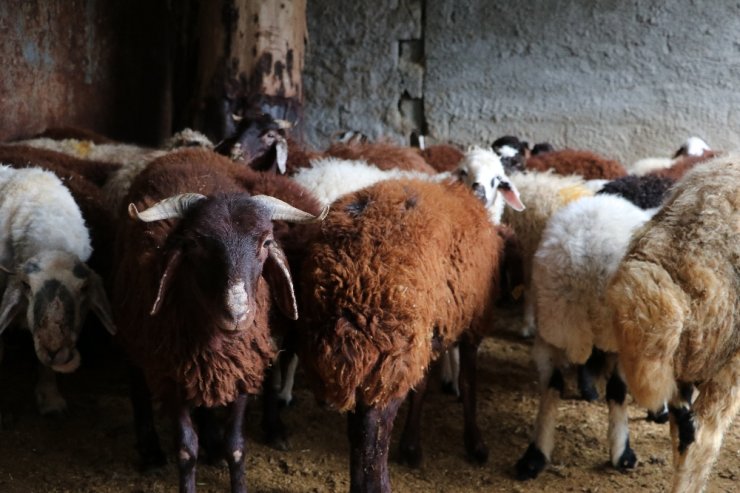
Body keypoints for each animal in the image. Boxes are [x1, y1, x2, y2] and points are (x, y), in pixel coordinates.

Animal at [294, 178, 516, 492]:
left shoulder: (425, 339)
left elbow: (421, 387)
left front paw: (411, 445)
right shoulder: (471, 324)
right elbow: (468, 382)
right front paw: (475, 444)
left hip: (365, 361)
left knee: (359, 435)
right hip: (387, 360)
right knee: (372, 441)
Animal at [516, 194, 652, 478]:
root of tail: (586, 255)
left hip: (554, 323)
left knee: (552, 384)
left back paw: (536, 454)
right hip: (618, 334)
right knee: (615, 388)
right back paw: (622, 452)